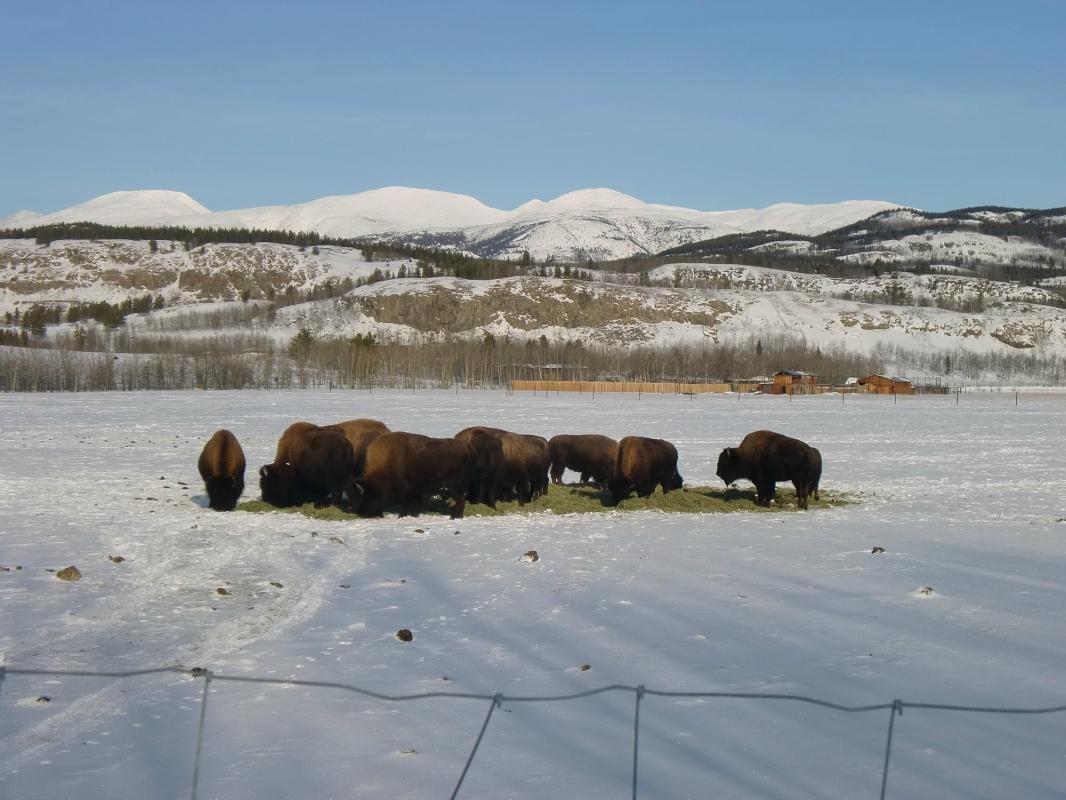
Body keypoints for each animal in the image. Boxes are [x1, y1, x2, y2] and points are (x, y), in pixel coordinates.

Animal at [341, 433, 475, 520]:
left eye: (360, 496)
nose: (350, 509)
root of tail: (467, 448)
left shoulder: (407, 490)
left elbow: (407, 504)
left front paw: (402, 516)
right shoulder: (415, 491)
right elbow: (414, 504)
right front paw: (412, 515)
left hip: (455, 487)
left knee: (460, 499)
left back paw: (454, 517)